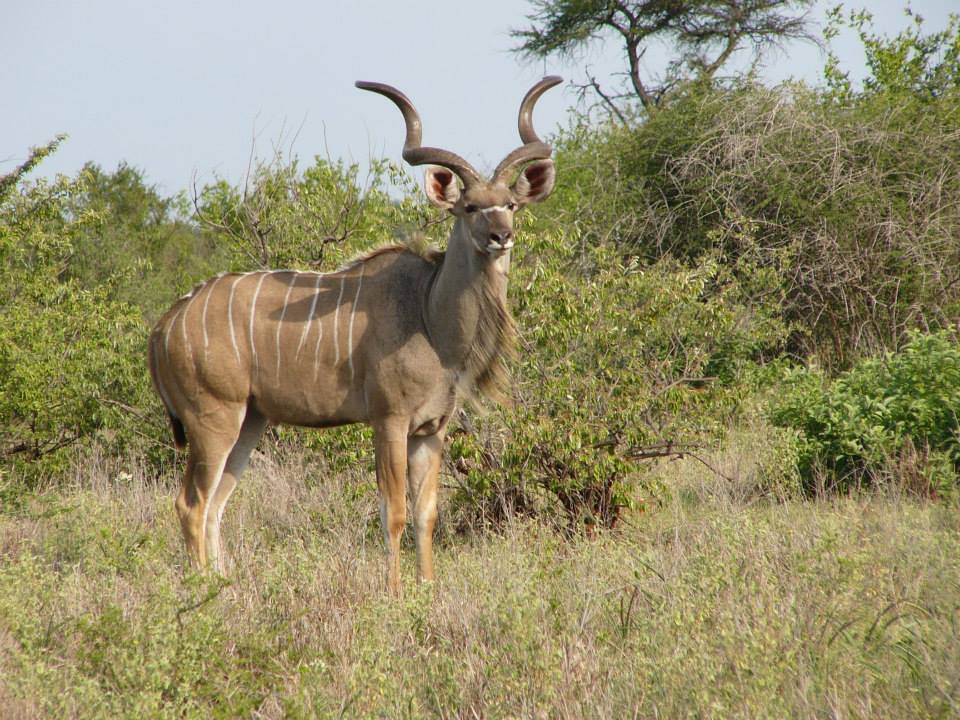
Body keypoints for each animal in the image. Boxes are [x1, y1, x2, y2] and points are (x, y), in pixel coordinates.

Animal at [150, 74, 564, 592]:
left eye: (510, 204)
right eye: (469, 207)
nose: (501, 236)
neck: (429, 315)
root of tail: (165, 325)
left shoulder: (431, 430)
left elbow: (427, 513)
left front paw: (427, 588)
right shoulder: (389, 421)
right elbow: (395, 512)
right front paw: (395, 592)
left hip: (250, 422)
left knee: (216, 504)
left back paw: (226, 585)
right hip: (213, 420)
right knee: (191, 503)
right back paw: (204, 589)